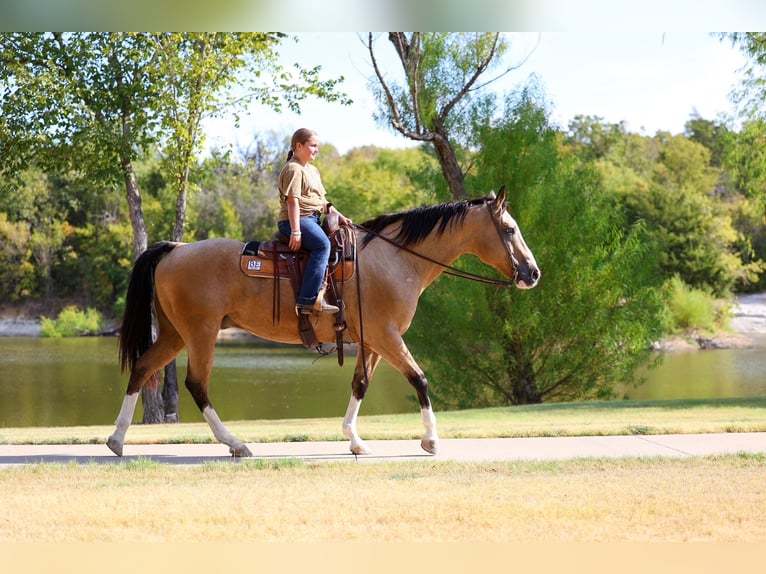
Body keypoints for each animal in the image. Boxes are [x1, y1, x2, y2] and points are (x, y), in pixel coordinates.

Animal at [106, 186, 540, 457]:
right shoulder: (387, 337)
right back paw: (235, 444)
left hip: (176, 334)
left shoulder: (372, 341)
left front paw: (355, 441)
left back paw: (116, 439)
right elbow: (420, 379)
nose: (532, 273)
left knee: (142, 368)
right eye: (509, 229)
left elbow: (360, 384)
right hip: (201, 334)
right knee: (197, 385)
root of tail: (176, 249)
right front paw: (431, 440)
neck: (394, 259)